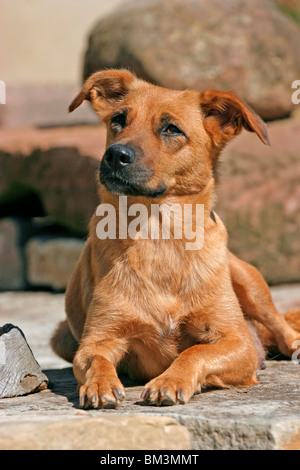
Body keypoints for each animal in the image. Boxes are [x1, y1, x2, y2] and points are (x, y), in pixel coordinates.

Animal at [51, 69, 300, 408]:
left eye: (171, 129)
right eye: (118, 119)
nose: (115, 155)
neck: (159, 237)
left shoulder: (238, 342)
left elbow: (196, 351)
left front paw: (170, 379)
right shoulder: (98, 338)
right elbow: (96, 359)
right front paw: (100, 383)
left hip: (248, 280)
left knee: (281, 326)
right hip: (62, 337)